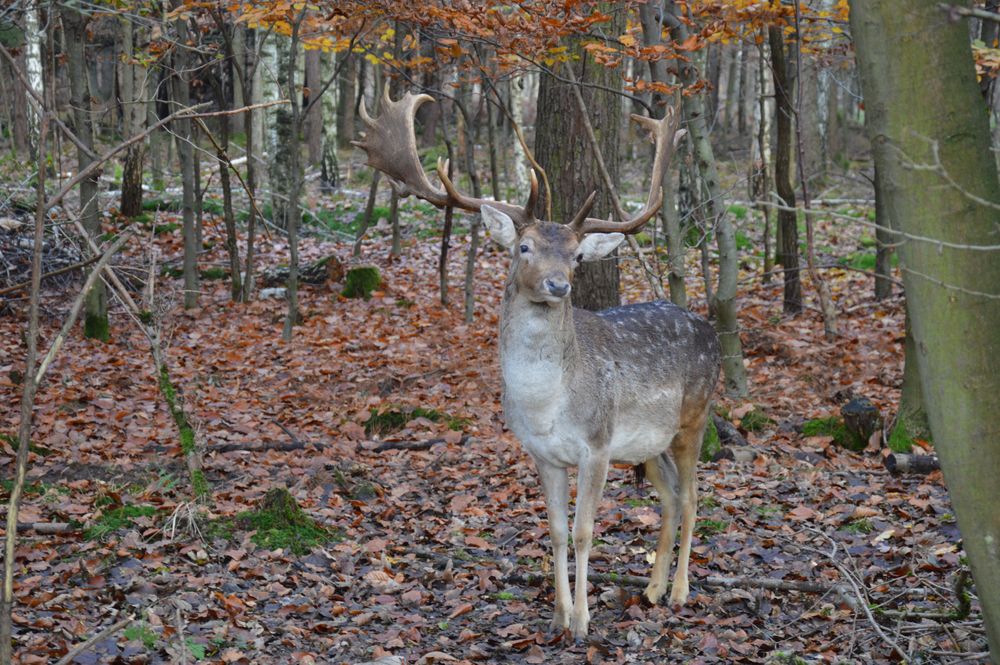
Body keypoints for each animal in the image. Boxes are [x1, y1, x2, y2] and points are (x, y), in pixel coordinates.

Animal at [356, 88, 724, 640]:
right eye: (524, 247)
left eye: (576, 256)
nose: (559, 285)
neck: (546, 405)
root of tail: (711, 329)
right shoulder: (542, 454)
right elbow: (553, 530)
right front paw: (557, 615)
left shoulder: (596, 444)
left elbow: (585, 530)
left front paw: (584, 621)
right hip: (647, 444)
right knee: (671, 497)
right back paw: (653, 589)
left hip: (694, 416)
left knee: (696, 495)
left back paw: (679, 591)